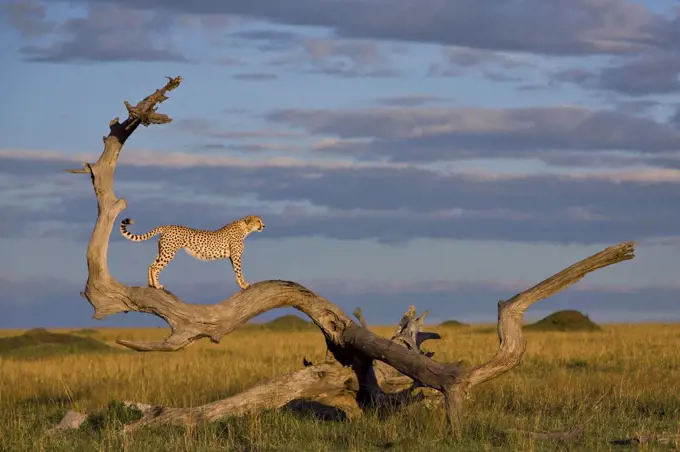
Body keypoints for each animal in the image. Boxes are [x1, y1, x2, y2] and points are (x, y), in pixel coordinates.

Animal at [118, 215, 264, 290]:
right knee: (155, 267)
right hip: (168, 253)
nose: (264, 226)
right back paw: (157, 285)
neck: (245, 228)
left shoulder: (232, 257)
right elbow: (239, 271)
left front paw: (241, 284)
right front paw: (244, 285)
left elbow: (236, 271)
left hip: (162, 251)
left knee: (150, 265)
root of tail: (167, 226)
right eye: (258, 220)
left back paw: (150, 284)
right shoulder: (236, 256)